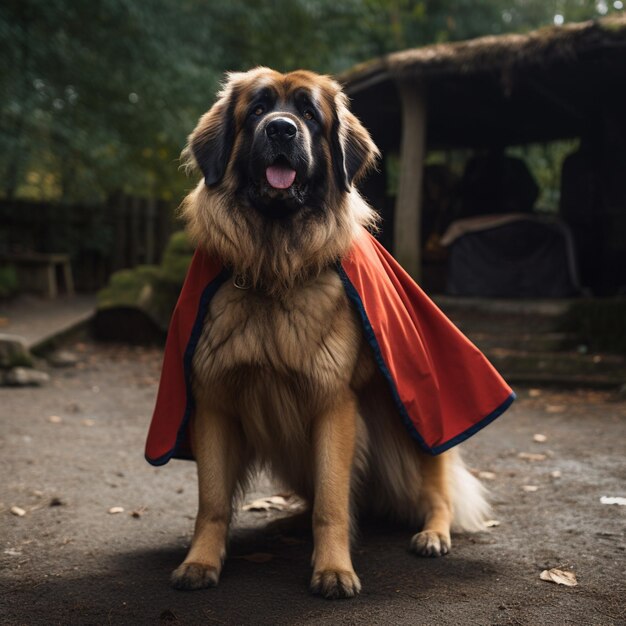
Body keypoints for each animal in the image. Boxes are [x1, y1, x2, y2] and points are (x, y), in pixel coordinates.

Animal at [168, 66, 494, 596]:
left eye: (308, 113)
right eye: (257, 111)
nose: (281, 130)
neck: (273, 271)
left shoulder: (333, 403)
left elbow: (332, 502)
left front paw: (334, 569)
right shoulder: (212, 401)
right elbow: (212, 501)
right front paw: (200, 561)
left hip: (413, 427)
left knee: (436, 490)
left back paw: (432, 533)